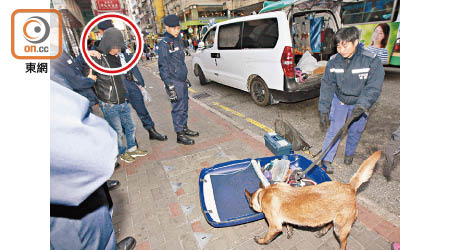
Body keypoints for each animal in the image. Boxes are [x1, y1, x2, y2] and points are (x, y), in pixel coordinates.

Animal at [244, 149, 382, 249]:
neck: (264, 193)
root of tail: (350, 186)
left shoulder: (274, 226)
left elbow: (267, 237)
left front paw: (261, 241)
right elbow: (288, 223)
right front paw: (290, 230)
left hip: (340, 228)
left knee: (344, 242)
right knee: (329, 223)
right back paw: (322, 231)